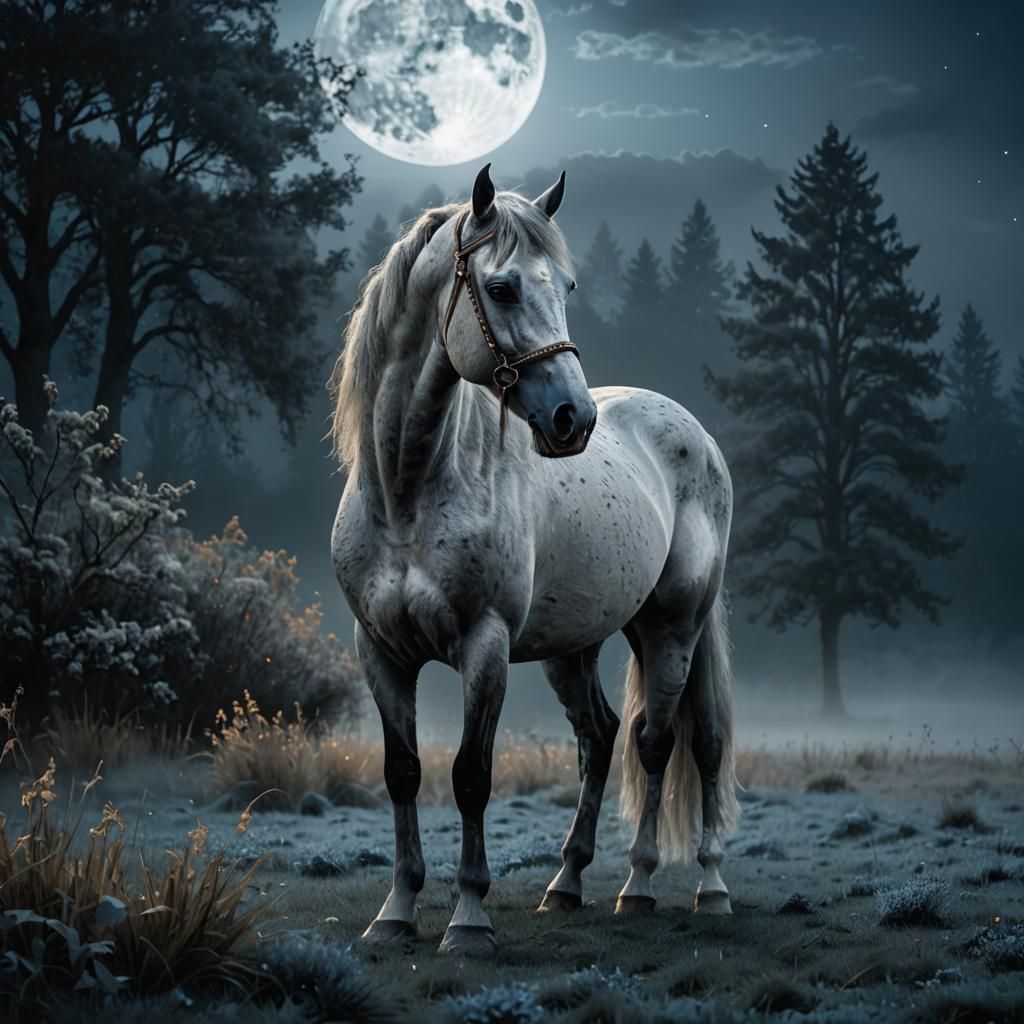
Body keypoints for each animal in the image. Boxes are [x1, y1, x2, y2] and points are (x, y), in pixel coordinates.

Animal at [329, 164, 740, 957]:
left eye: (567, 286)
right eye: (503, 287)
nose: (572, 420)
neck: (408, 489)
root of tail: (694, 433)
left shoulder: (483, 645)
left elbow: (470, 775)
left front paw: (468, 919)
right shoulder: (380, 650)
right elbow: (403, 772)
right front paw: (395, 912)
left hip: (675, 627)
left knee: (672, 742)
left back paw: (676, 886)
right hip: (574, 644)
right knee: (601, 739)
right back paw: (568, 882)